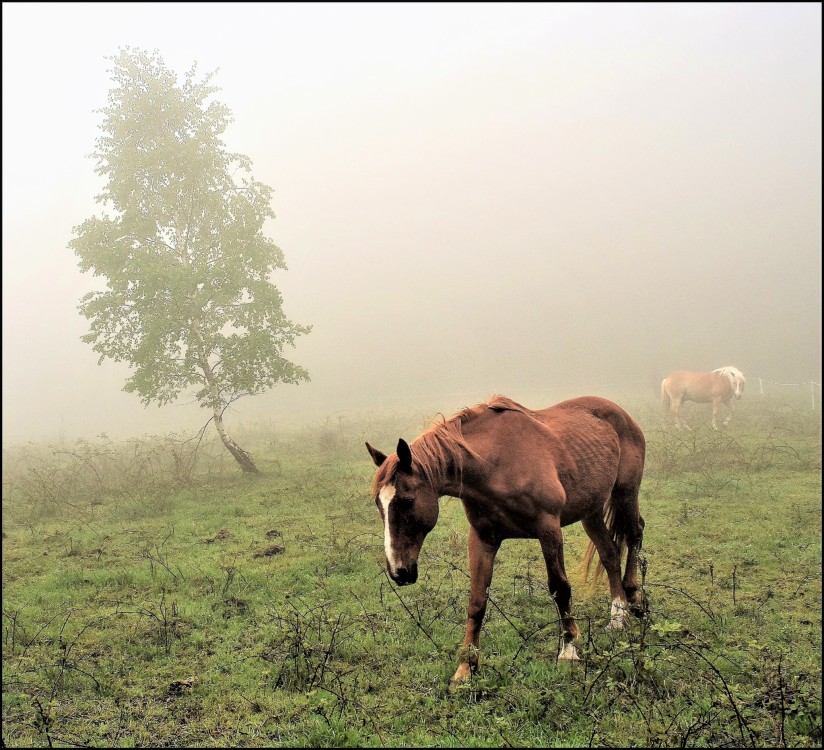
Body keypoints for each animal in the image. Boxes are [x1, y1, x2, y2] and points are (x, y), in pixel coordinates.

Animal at [366, 396, 644, 692]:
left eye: (406, 501)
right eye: (379, 504)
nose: (399, 571)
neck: (495, 465)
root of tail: (621, 414)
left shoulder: (549, 528)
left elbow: (560, 588)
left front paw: (568, 651)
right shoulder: (482, 538)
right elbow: (477, 602)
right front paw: (465, 669)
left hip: (625, 494)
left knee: (635, 533)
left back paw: (633, 598)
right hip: (590, 512)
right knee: (610, 553)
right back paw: (618, 616)